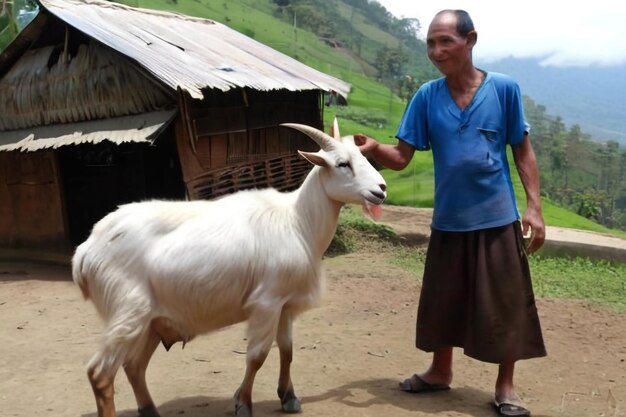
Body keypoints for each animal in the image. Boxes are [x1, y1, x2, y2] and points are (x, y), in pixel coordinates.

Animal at [73, 120, 386, 416]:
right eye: (342, 163)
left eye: (364, 156)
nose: (381, 190)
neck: (298, 221)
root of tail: (86, 250)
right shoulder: (267, 302)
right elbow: (257, 356)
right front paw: (243, 403)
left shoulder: (285, 305)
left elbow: (287, 351)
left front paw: (288, 397)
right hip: (127, 313)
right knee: (100, 374)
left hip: (151, 322)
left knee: (133, 366)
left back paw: (150, 410)